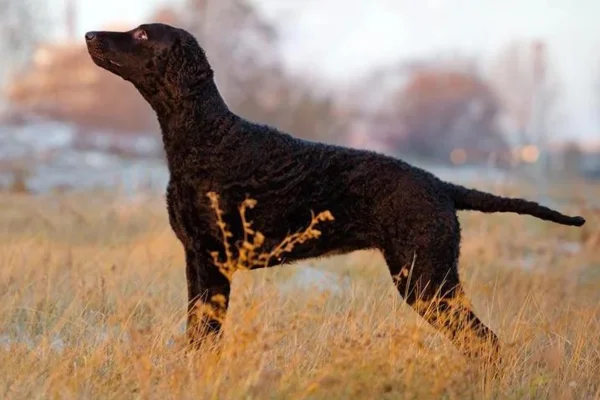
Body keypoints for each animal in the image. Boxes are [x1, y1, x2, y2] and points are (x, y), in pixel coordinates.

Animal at [85, 23, 584, 358]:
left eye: (142, 34)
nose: (90, 34)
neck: (208, 135)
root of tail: (440, 184)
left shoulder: (214, 260)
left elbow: (204, 337)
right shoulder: (196, 258)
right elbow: (195, 334)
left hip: (426, 279)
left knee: (486, 342)